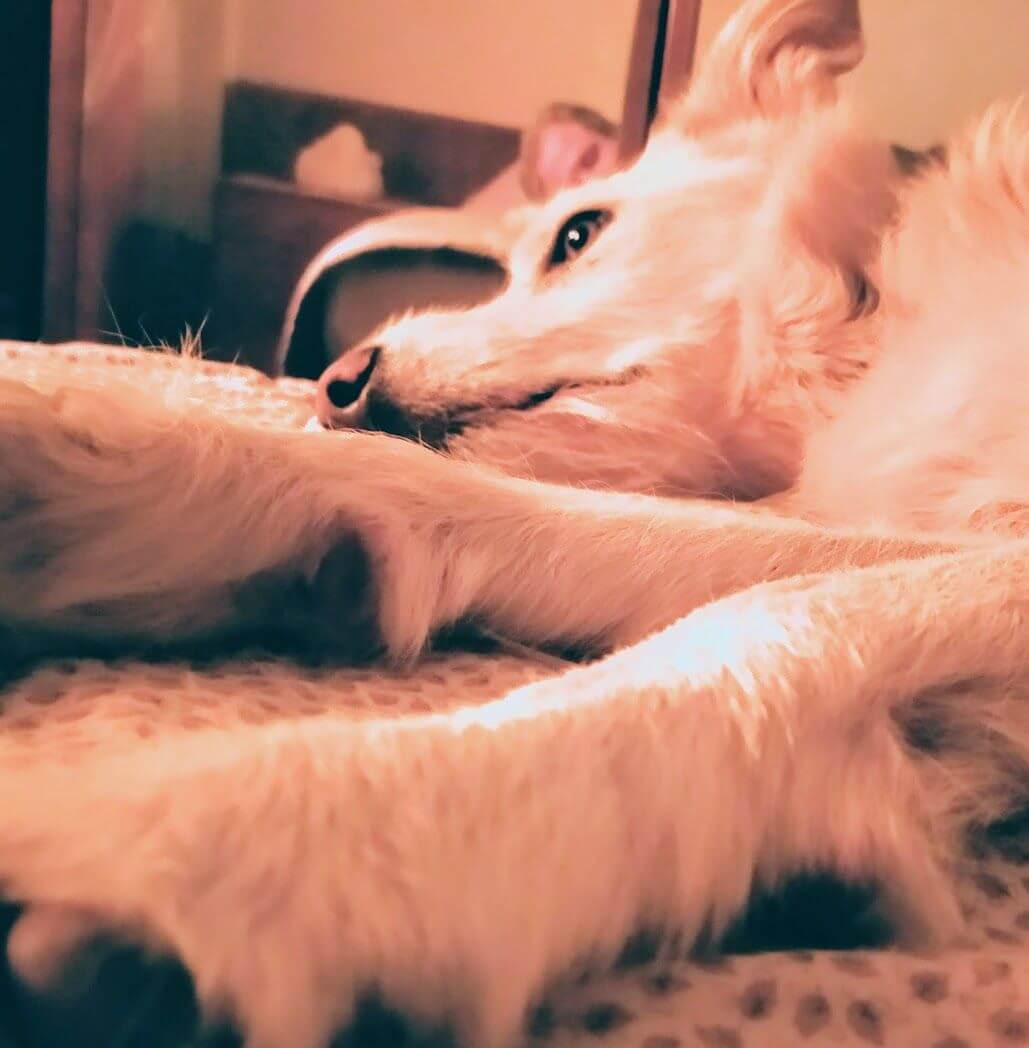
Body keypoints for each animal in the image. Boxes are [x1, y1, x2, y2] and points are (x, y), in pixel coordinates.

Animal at [0, 0, 1028, 1045]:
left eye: (576, 233)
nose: (336, 384)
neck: (865, 318)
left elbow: (781, 611)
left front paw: (278, 829)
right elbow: (620, 527)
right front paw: (145, 478)